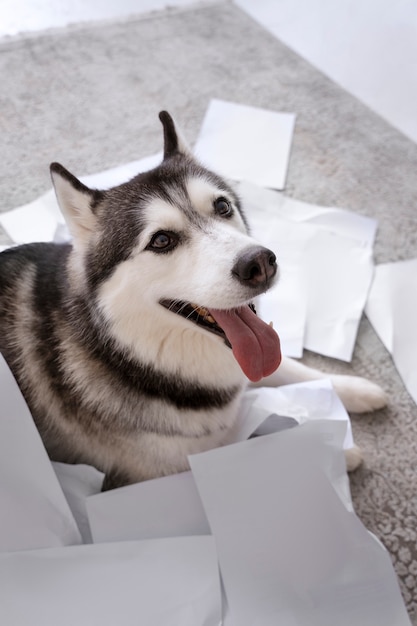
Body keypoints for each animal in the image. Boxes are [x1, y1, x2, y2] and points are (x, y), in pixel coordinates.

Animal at [0, 112, 386, 486]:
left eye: (222, 206)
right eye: (161, 240)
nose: (260, 263)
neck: (126, 353)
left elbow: (288, 366)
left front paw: (355, 389)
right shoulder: (164, 472)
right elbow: (255, 446)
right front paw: (330, 449)